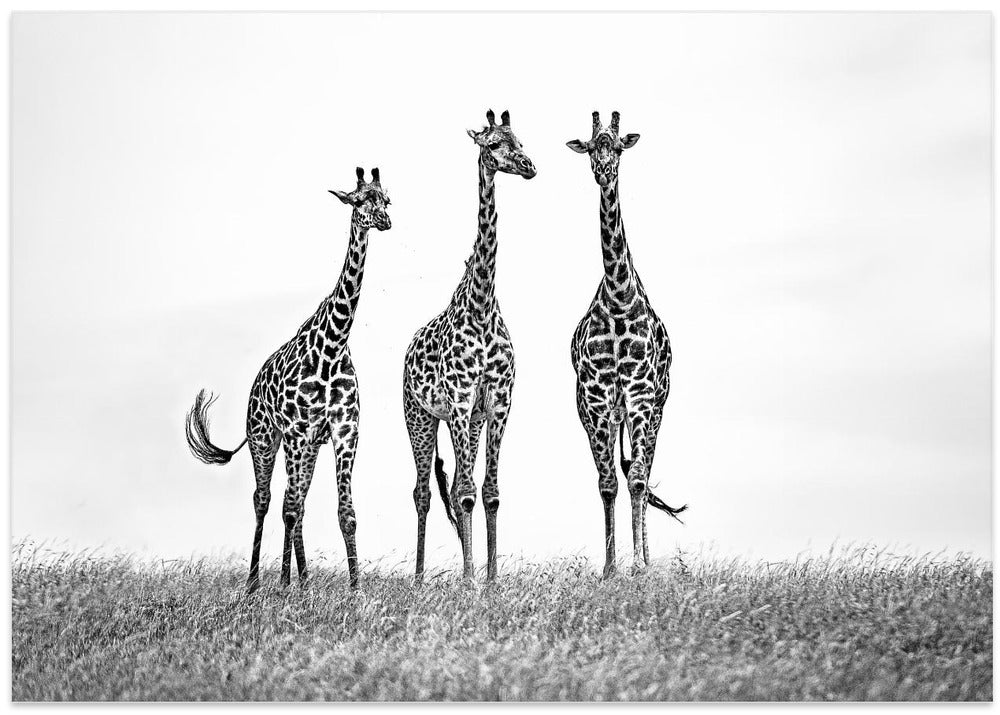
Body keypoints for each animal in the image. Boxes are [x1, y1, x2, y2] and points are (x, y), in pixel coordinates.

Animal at [184, 167, 391, 593]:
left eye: (386, 199)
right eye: (359, 200)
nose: (384, 221)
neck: (333, 344)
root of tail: (253, 386)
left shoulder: (344, 431)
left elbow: (346, 512)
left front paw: (355, 589)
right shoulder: (296, 432)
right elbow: (288, 507)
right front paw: (285, 585)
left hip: (307, 447)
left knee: (294, 502)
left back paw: (300, 578)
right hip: (265, 440)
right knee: (266, 500)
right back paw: (256, 583)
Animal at [403, 109, 536, 582]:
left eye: (520, 140)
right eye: (493, 145)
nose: (529, 166)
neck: (481, 306)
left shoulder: (496, 402)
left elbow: (489, 491)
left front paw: (492, 577)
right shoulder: (459, 401)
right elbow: (462, 492)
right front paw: (468, 579)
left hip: (468, 422)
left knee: (459, 484)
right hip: (420, 417)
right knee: (423, 491)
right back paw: (420, 576)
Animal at [566, 111, 687, 578]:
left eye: (617, 146)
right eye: (589, 145)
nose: (603, 170)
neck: (618, 298)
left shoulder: (640, 394)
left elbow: (636, 479)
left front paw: (637, 565)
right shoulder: (597, 399)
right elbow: (607, 483)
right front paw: (610, 568)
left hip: (656, 409)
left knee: (644, 471)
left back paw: (648, 559)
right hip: (607, 414)